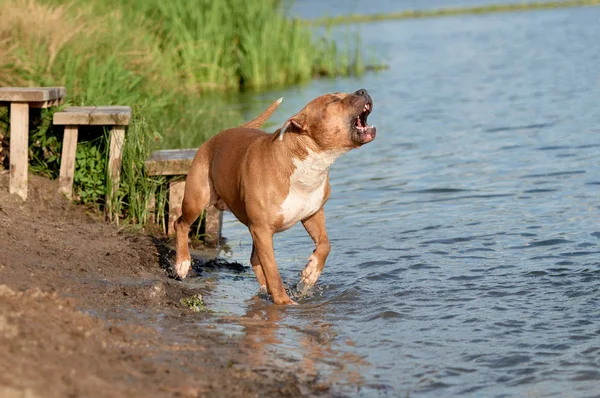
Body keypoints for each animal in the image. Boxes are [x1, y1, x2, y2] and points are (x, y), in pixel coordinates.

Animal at [173, 88, 378, 304]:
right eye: (333, 100)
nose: (363, 90)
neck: (309, 165)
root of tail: (218, 135)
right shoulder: (262, 230)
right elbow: (273, 270)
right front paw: (284, 302)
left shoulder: (312, 214)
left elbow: (325, 244)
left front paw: (311, 273)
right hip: (197, 200)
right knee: (181, 224)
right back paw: (182, 264)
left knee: (254, 259)